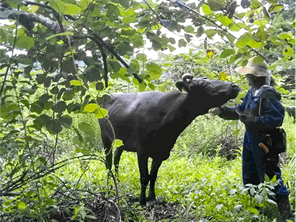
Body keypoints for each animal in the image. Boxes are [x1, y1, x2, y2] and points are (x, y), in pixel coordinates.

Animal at [99, 73, 240, 206]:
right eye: (202, 83)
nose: (234, 85)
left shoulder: (161, 153)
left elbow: (153, 176)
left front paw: (152, 198)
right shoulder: (142, 151)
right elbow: (144, 176)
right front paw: (142, 200)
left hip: (120, 143)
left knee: (116, 159)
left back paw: (117, 181)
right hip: (105, 138)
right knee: (108, 162)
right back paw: (109, 185)